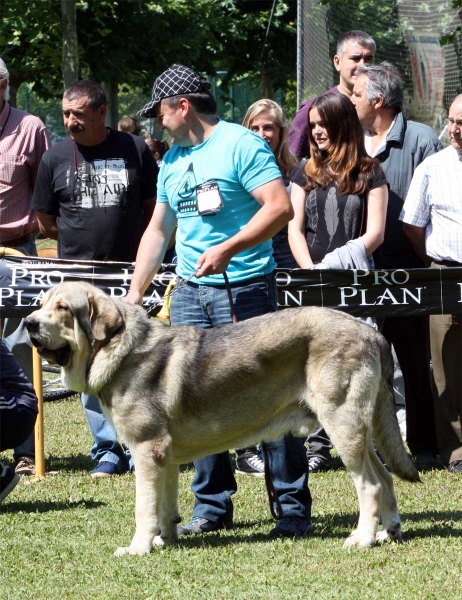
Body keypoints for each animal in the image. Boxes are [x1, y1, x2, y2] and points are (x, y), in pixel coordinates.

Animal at [24, 282, 418, 556]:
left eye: (62, 307)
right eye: (41, 303)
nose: (28, 323)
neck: (117, 350)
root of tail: (372, 332)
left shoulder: (146, 449)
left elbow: (143, 508)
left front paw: (138, 548)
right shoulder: (164, 456)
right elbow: (165, 506)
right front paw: (166, 540)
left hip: (342, 426)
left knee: (370, 484)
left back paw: (363, 538)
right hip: (360, 433)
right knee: (386, 477)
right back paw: (389, 531)